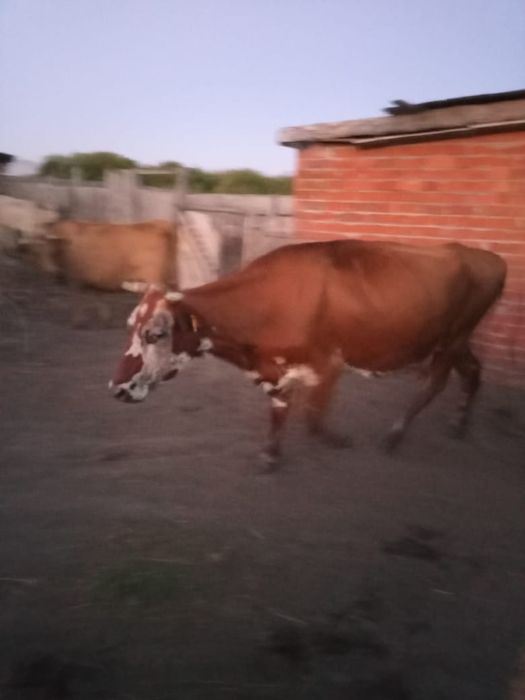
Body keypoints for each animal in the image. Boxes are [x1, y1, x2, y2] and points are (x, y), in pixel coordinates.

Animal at [29, 218, 178, 325]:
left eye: (51, 248)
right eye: (38, 250)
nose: (50, 270)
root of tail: (160, 223)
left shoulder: (76, 279)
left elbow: (77, 299)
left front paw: (77, 320)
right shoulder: (93, 279)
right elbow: (97, 298)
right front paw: (105, 318)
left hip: (154, 279)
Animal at [109, 239, 506, 470]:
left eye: (155, 334)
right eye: (130, 326)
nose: (116, 388)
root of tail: (486, 257)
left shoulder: (327, 364)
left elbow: (313, 415)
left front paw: (333, 439)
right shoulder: (274, 368)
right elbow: (281, 407)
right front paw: (271, 454)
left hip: (452, 338)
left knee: (433, 384)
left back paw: (395, 435)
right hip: (456, 340)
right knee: (473, 372)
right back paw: (459, 424)